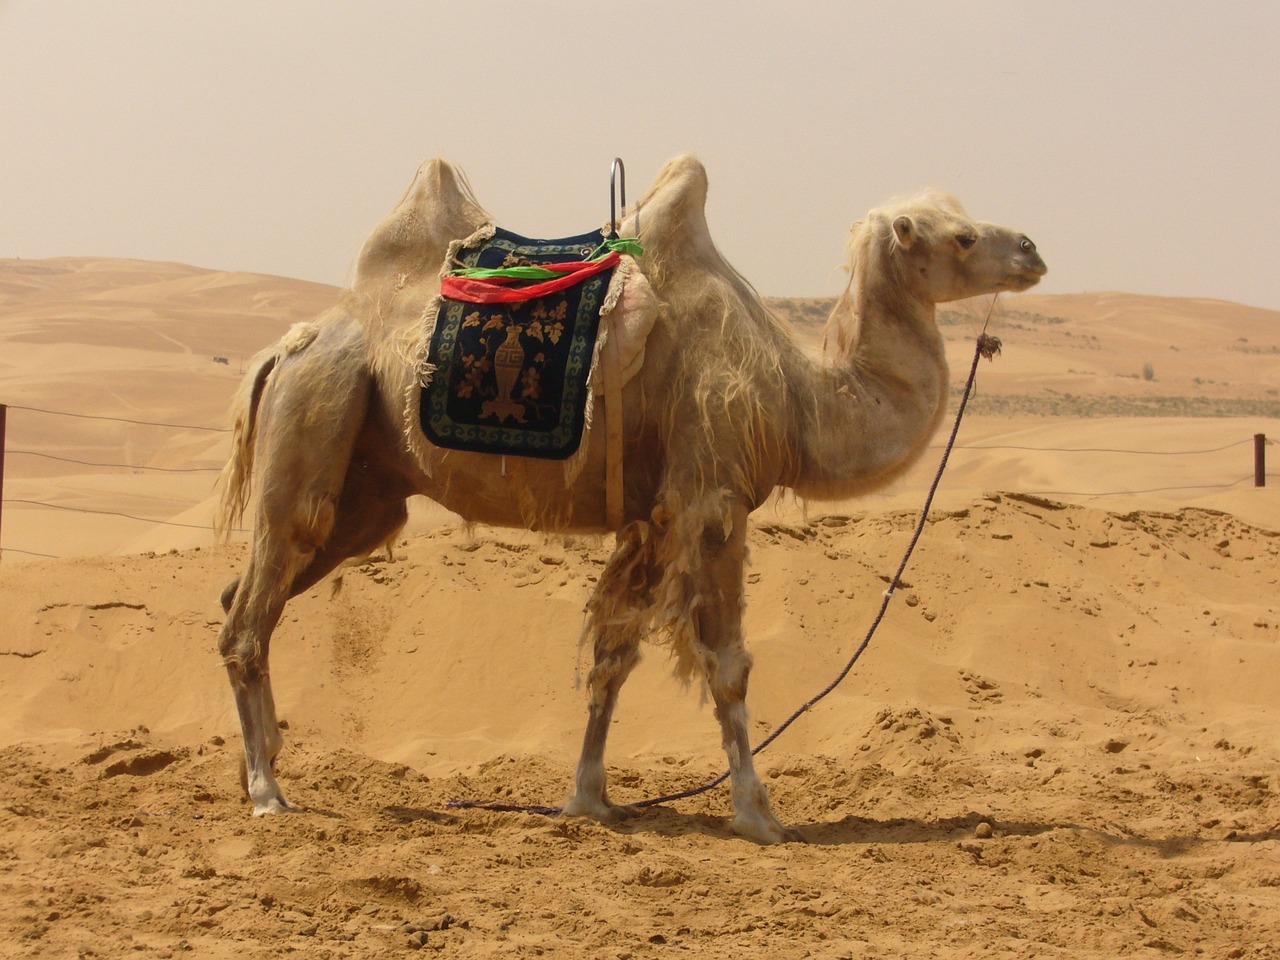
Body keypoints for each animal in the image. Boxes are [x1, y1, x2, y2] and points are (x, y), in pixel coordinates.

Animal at [215, 156, 1044, 839]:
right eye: (963, 237)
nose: (1032, 249)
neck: (794, 400)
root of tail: (282, 349)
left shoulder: (650, 518)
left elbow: (613, 654)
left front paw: (590, 800)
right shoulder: (712, 497)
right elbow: (727, 664)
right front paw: (759, 814)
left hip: (369, 488)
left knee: (245, 596)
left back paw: (268, 763)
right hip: (319, 408)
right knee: (249, 616)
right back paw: (265, 793)